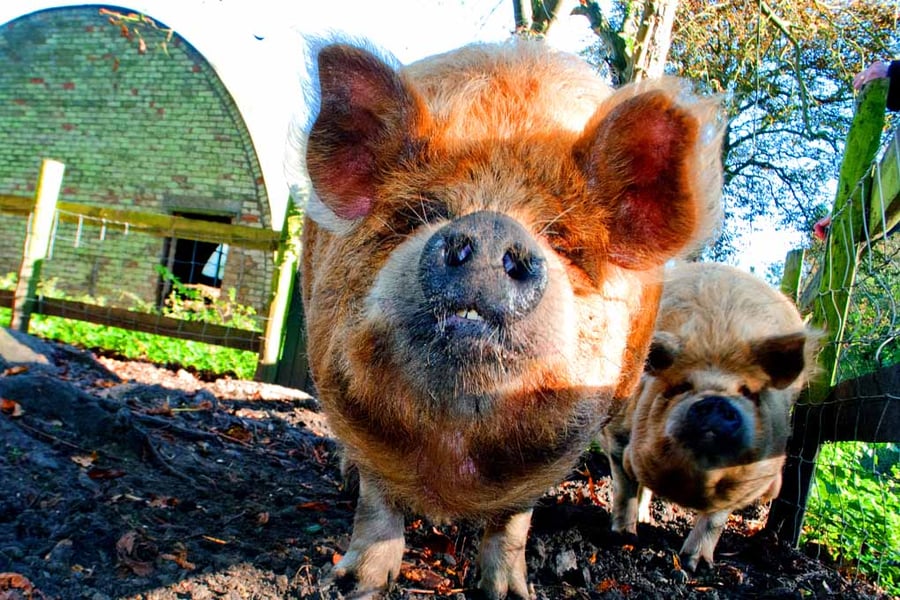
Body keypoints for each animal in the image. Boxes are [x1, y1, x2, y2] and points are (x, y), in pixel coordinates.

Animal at [290, 35, 724, 598]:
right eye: (424, 213)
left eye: (561, 239)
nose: (492, 226)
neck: (452, 449)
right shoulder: (350, 405)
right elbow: (377, 500)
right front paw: (354, 584)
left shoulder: (554, 454)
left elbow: (513, 520)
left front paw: (509, 592)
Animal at [601, 262, 818, 572]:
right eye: (682, 386)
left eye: (749, 392)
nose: (715, 402)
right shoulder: (617, 437)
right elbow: (624, 489)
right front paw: (624, 537)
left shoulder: (744, 484)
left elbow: (715, 519)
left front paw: (695, 566)